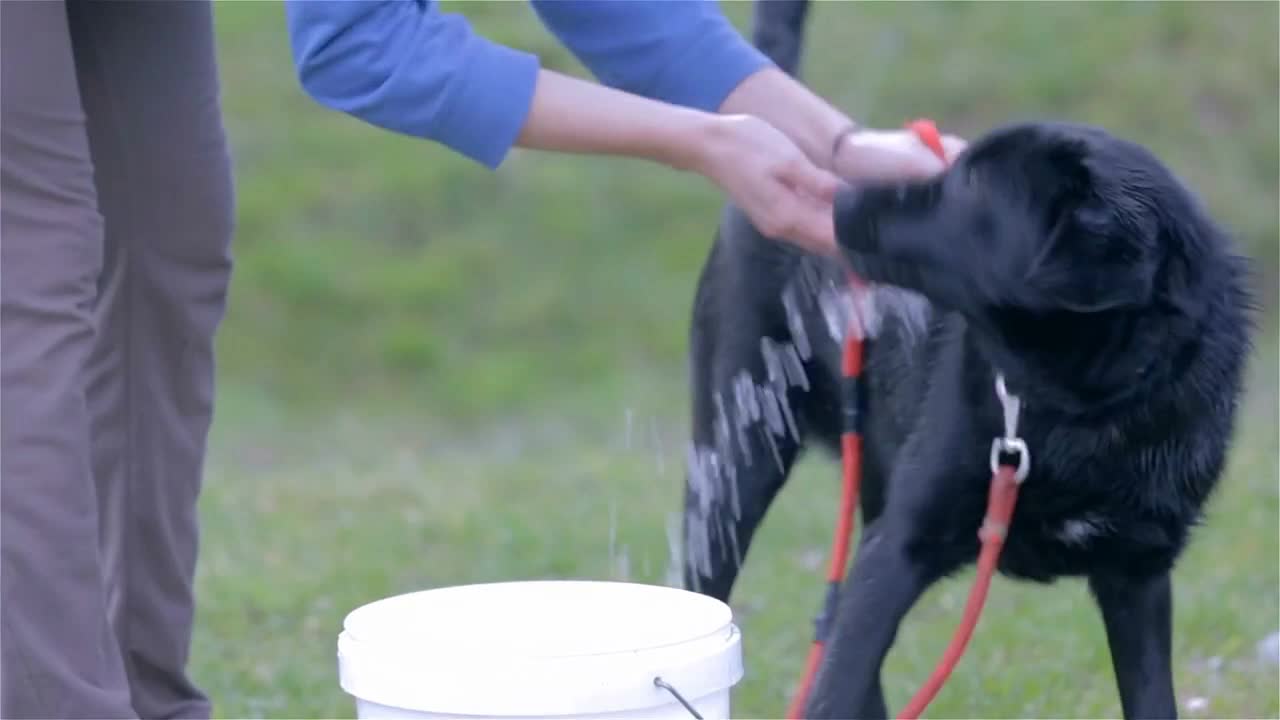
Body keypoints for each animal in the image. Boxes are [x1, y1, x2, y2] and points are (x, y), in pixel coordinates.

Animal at [686, 2, 1254, 712]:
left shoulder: (1140, 574)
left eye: (969, 195)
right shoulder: (900, 546)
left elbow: (1153, 700)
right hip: (732, 469)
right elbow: (838, 681)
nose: (838, 196)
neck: (1075, 405)